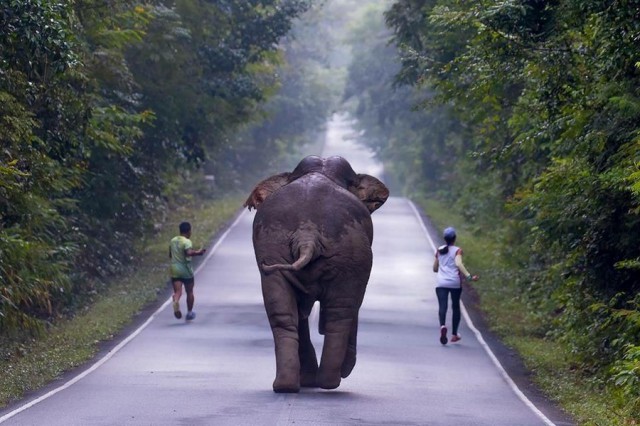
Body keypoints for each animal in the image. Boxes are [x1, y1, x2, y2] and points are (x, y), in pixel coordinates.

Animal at [242, 155, 388, 392]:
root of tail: (306, 234)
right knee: (342, 312)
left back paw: (287, 385)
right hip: (351, 254)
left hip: (273, 250)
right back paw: (330, 381)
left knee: (283, 312)